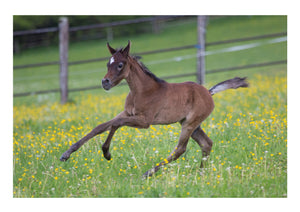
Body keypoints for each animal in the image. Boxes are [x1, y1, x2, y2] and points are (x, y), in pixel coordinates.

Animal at [60, 41, 248, 177]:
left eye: (120, 65)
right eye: (108, 63)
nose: (105, 82)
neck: (142, 91)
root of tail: (209, 92)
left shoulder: (144, 122)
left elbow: (116, 124)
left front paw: (106, 153)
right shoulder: (127, 113)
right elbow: (100, 127)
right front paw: (67, 153)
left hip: (189, 124)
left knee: (180, 149)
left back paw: (148, 173)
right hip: (192, 125)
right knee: (206, 143)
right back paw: (201, 172)